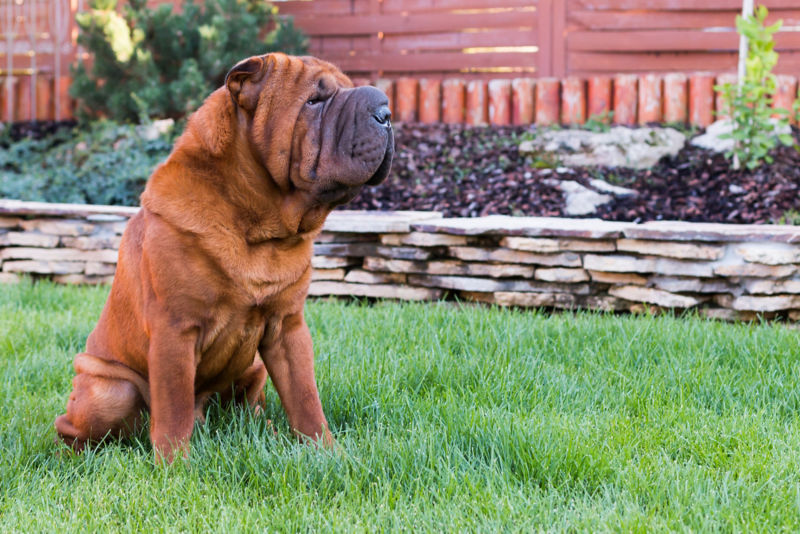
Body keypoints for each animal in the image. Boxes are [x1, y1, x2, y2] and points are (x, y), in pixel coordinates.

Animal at [53, 55, 394, 464]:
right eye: (314, 101)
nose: (386, 111)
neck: (259, 229)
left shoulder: (288, 328)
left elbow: (305, 398)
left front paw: (327, 453)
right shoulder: (175, 329)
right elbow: (174, 407)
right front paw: (175, 466)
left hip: (254, 367)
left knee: (250, 409)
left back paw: (268, 431)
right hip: (109, 391)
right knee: (74, 427)